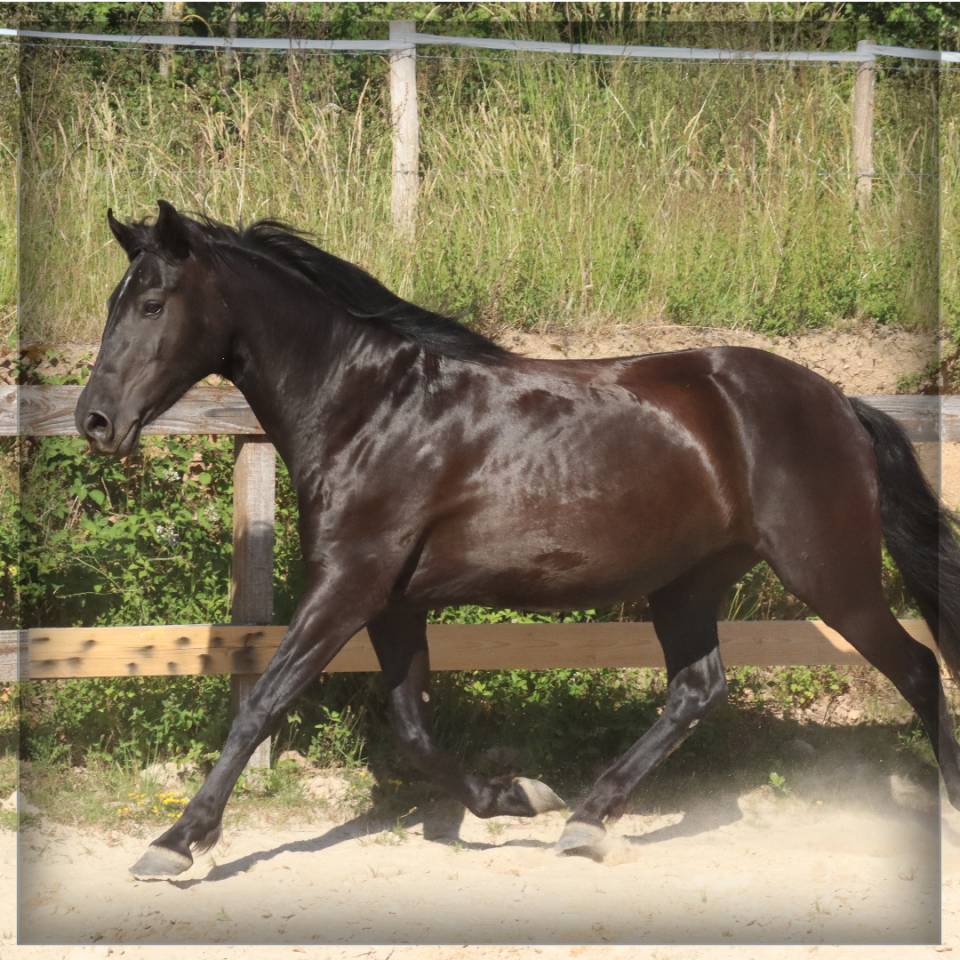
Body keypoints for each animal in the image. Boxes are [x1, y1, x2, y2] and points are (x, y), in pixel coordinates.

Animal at [76, 200, 960, 878]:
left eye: (152, 304)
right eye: (117, 301)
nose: (95, 421)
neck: (371, 408)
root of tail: (841, 402)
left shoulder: (350, 583)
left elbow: (264, 699)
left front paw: (176, 843)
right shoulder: (393, 599)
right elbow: (409, 722)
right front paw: (516, 797)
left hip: (828, 571)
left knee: (918, 667)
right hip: (688, 580)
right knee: (697, 688)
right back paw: (586, 819)